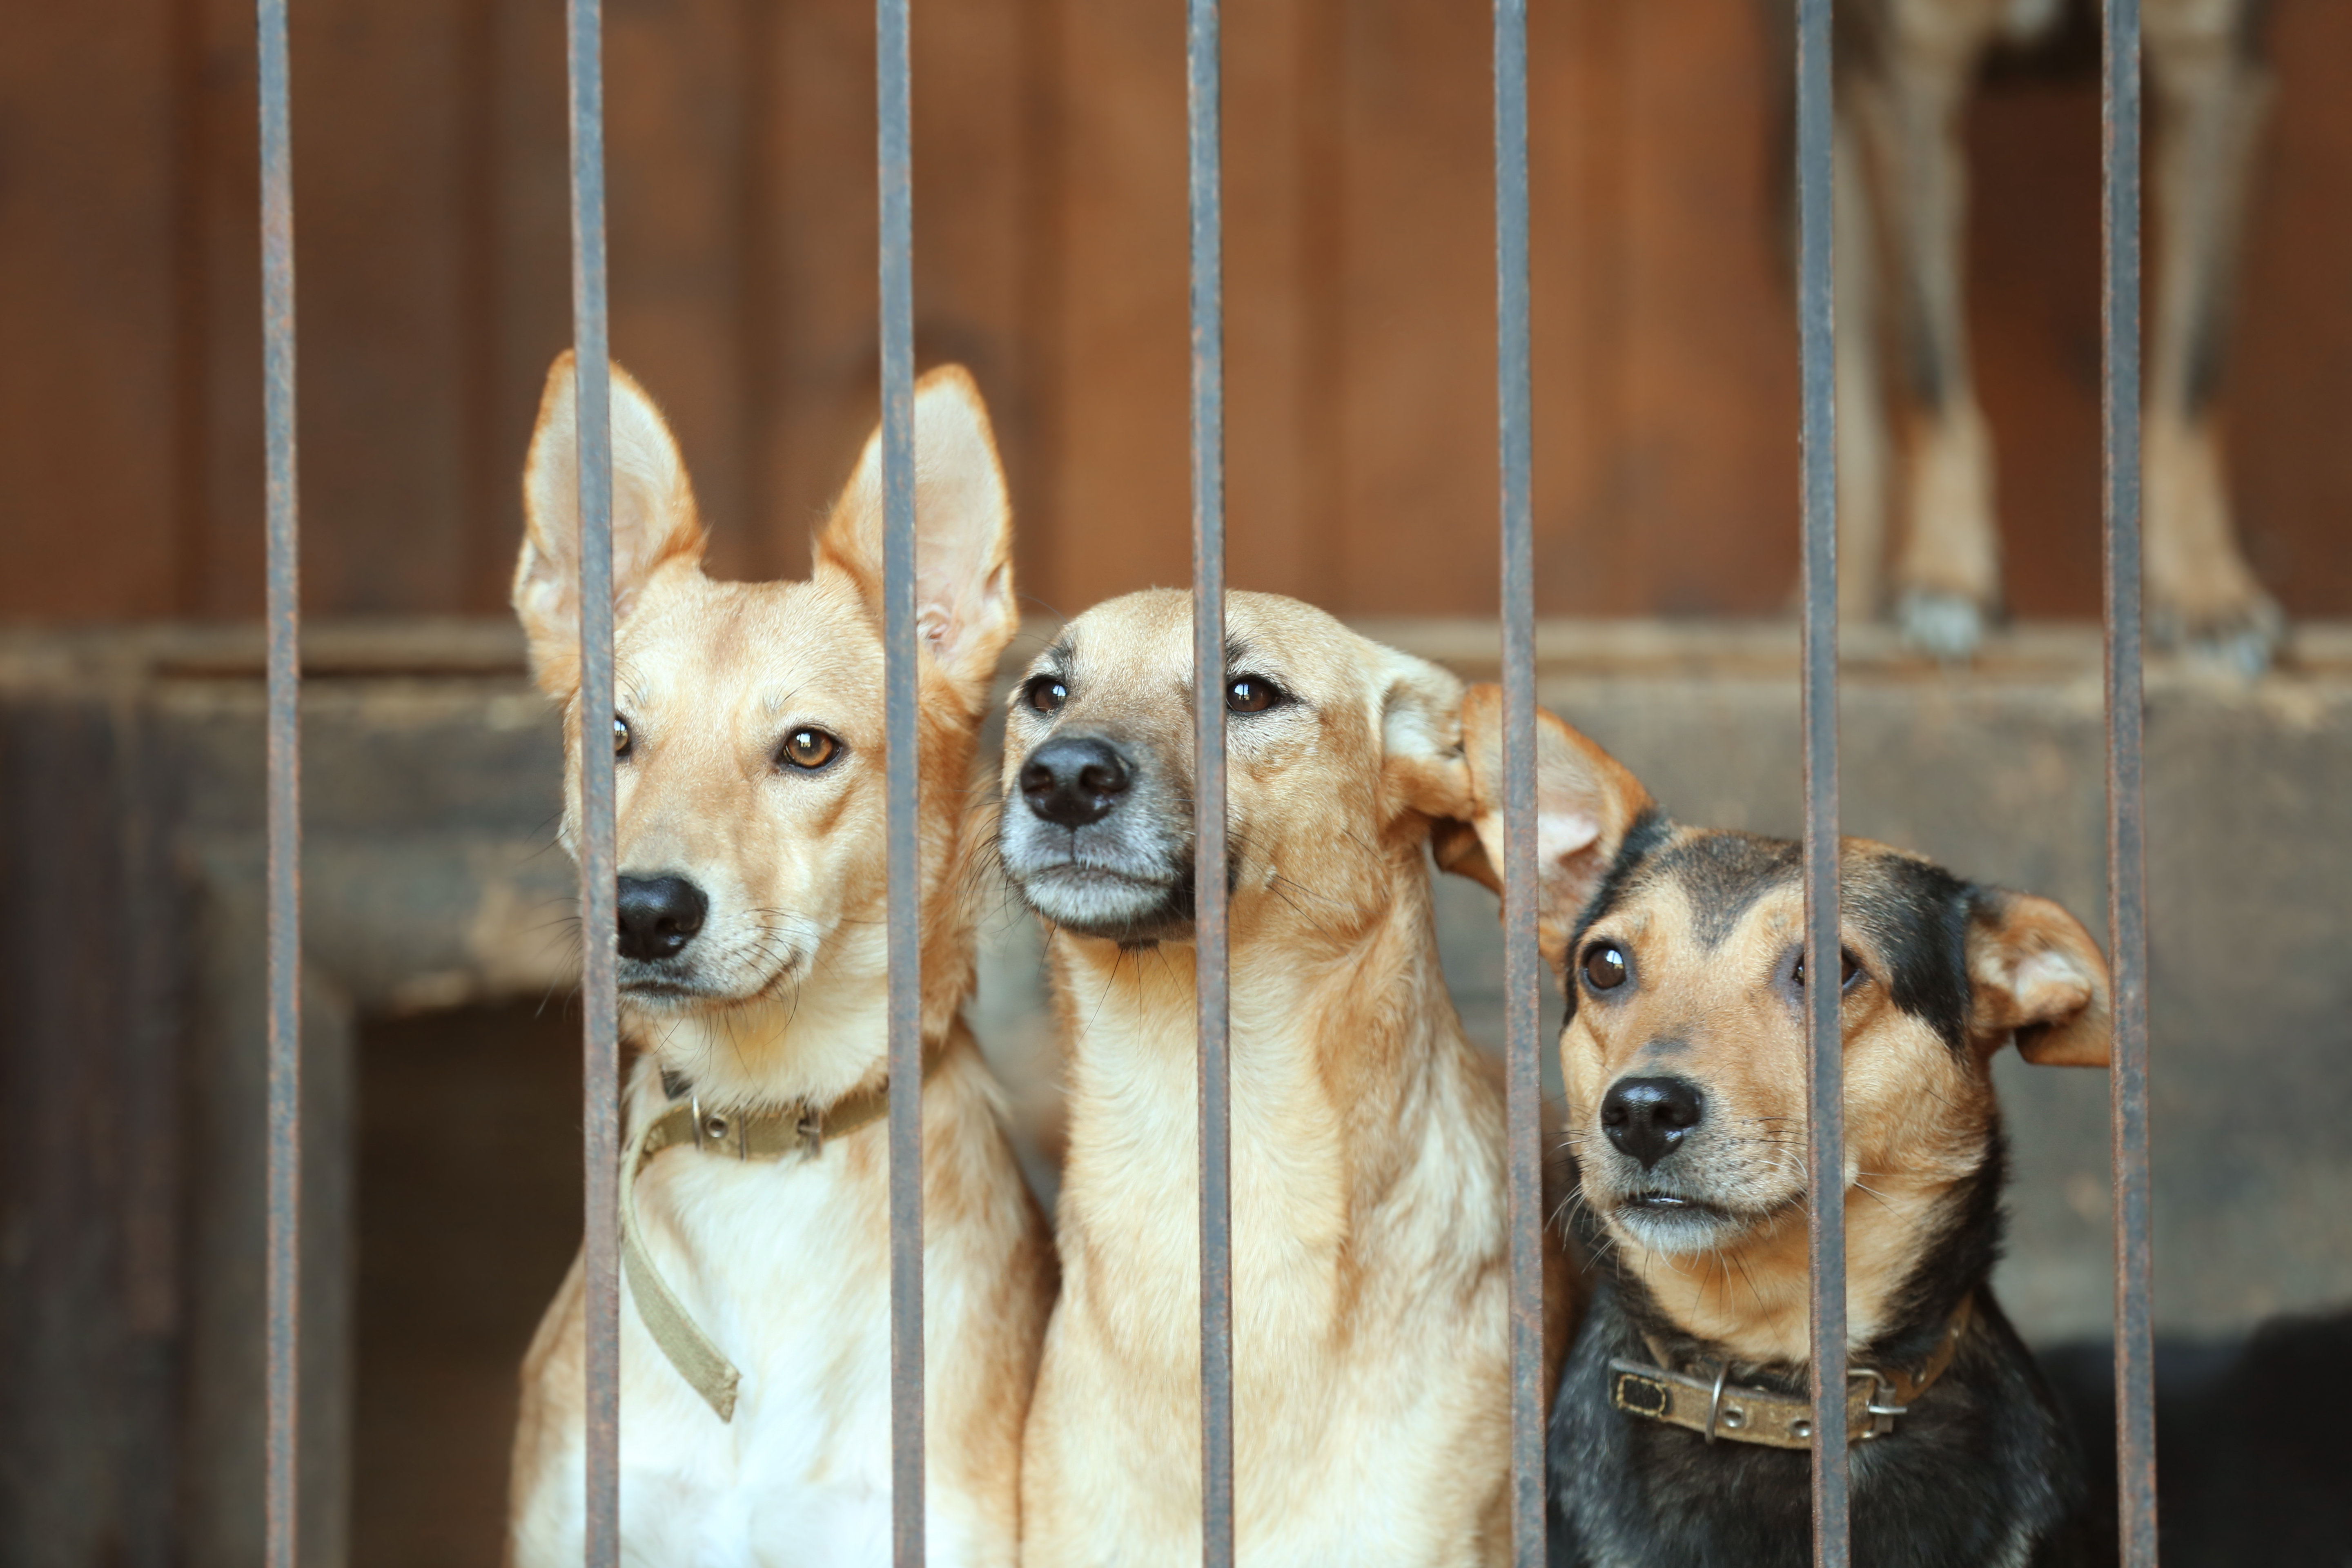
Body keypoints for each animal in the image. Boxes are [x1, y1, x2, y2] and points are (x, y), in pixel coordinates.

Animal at [1834, 0, 2276, 668]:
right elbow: (1929, 370)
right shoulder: (1911, 72)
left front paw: (2204, 584)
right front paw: (1948, 574)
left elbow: (2194, 378)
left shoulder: (2216, 71)